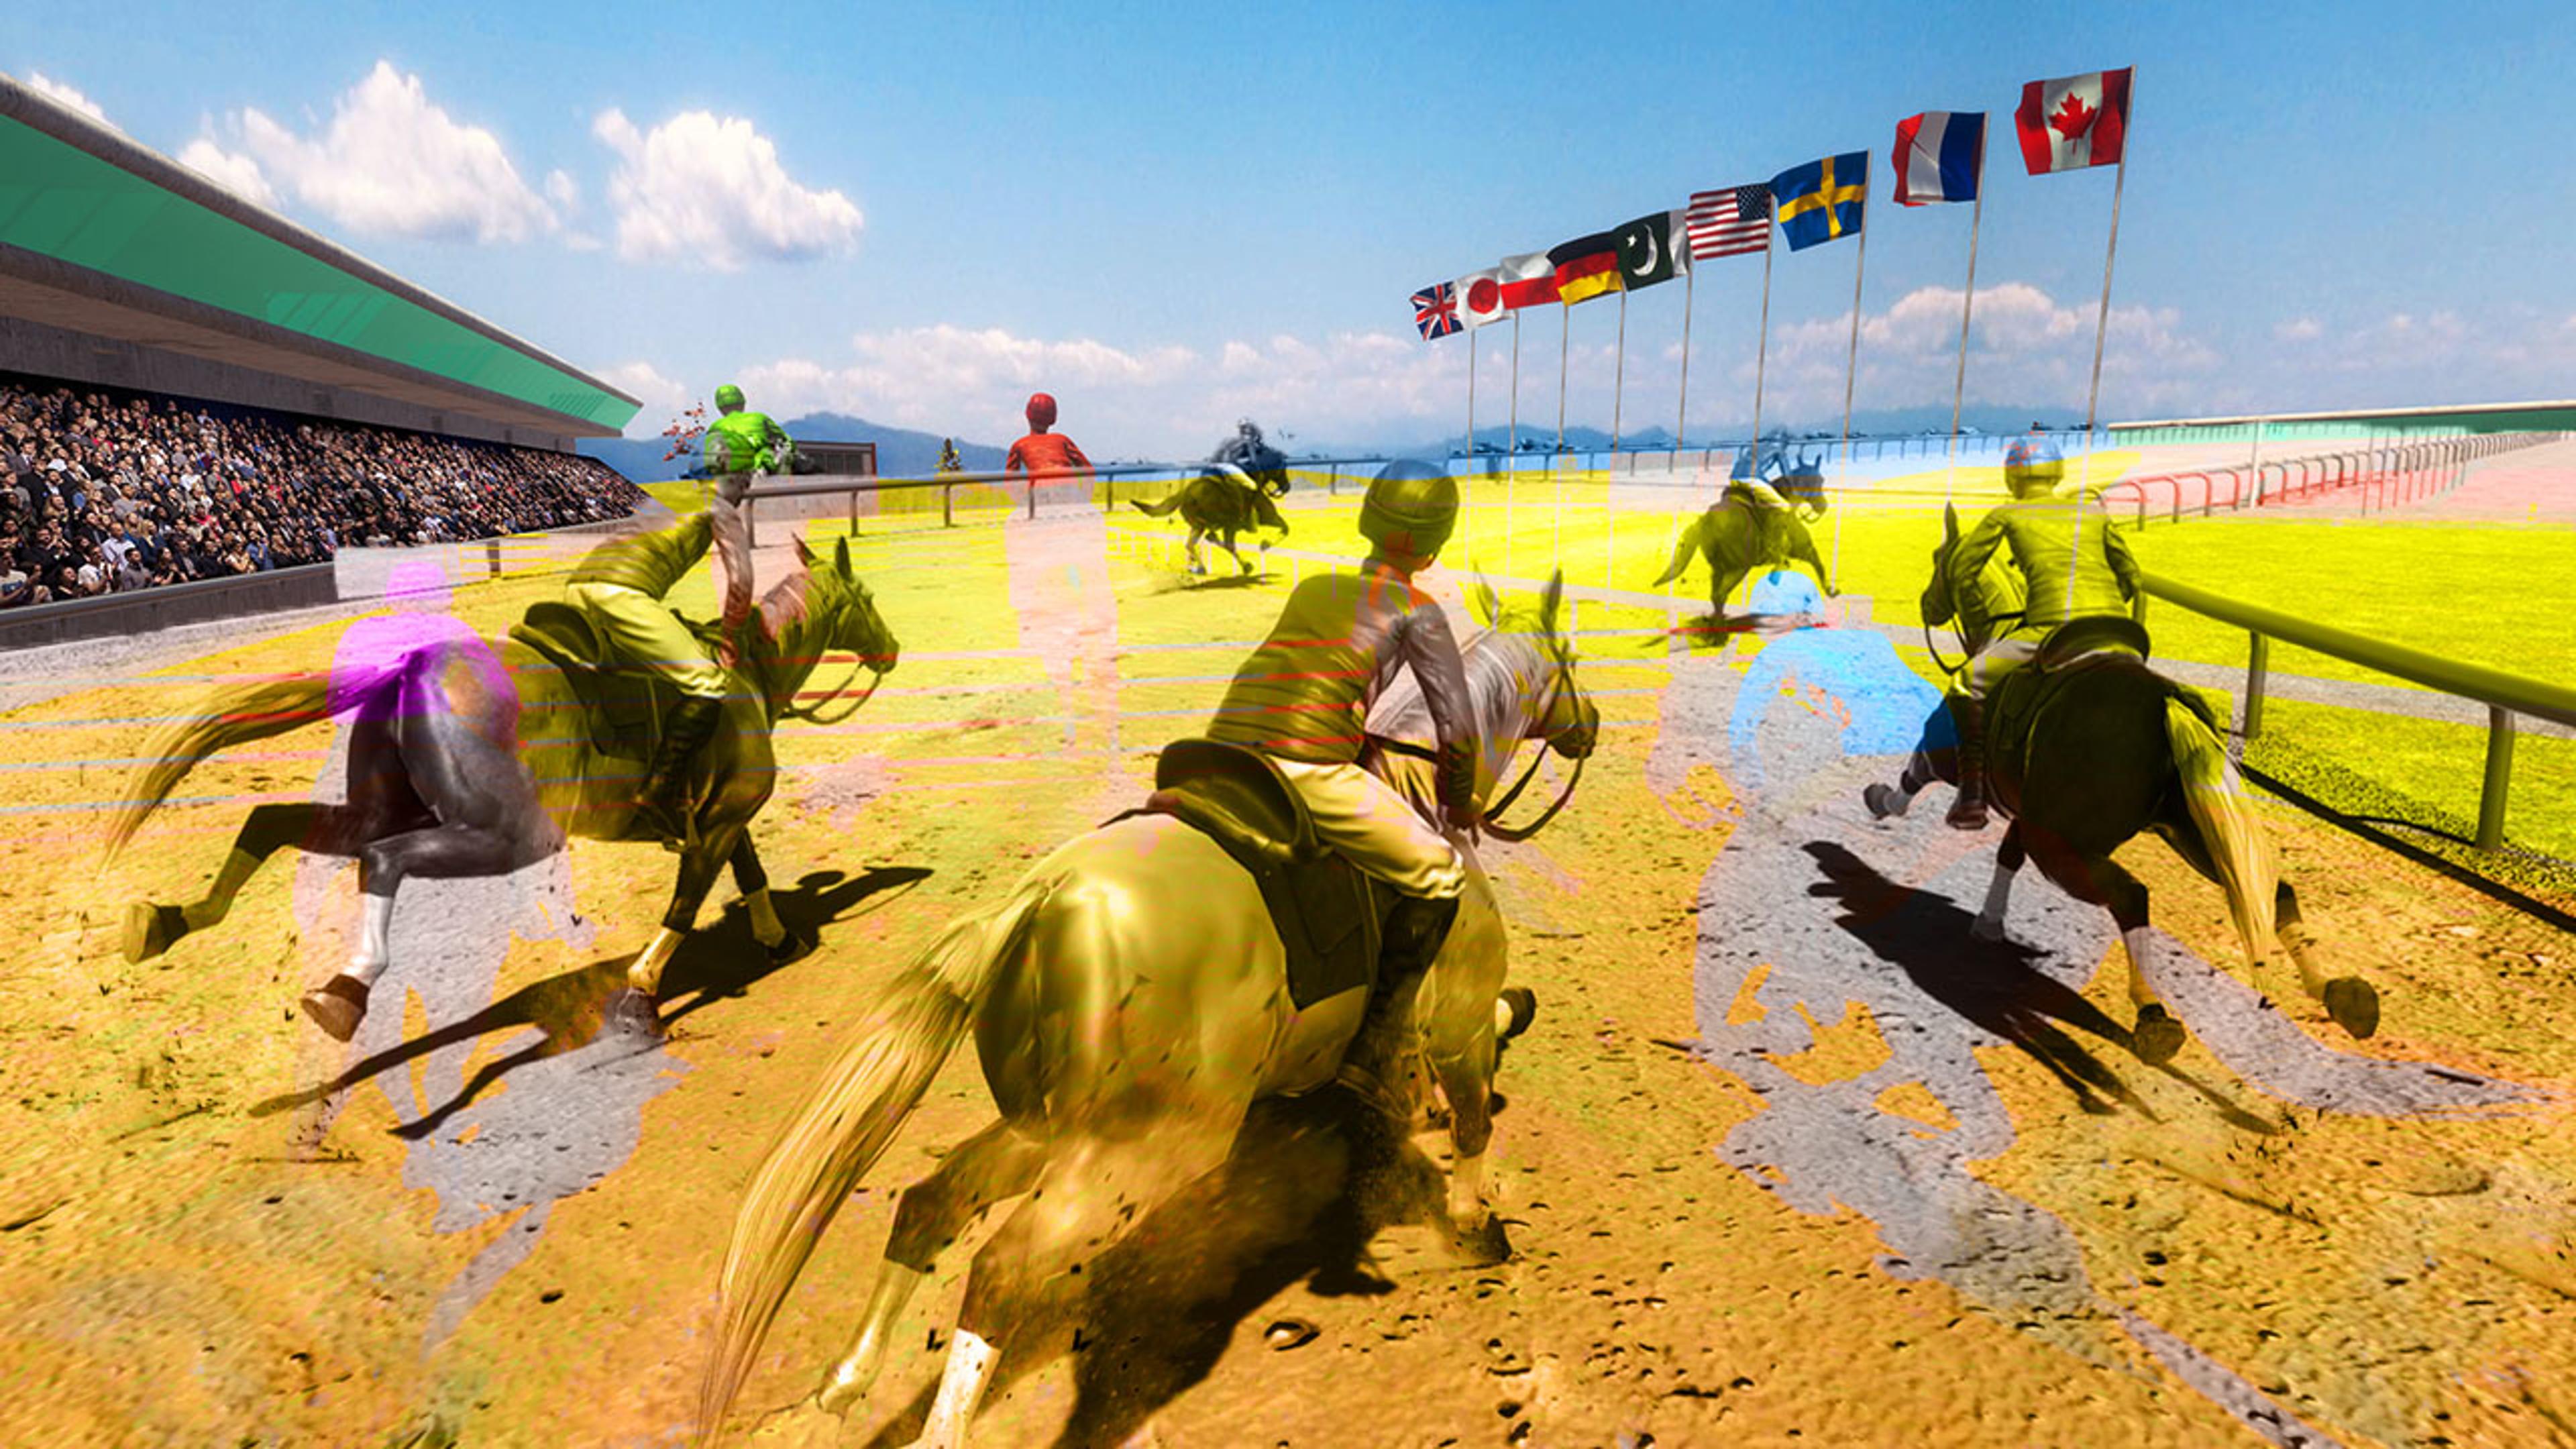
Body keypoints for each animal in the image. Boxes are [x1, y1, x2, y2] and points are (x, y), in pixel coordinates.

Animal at [104, 533, 900, 1042]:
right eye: (864, 597)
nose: (891, 648)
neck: (745, 671)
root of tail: (412, 665)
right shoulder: (719, 821)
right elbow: (685, 905)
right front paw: (641, 998)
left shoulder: (722, 819)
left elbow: (750, 872)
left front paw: (774, 936)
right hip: (499, 835)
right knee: (384, 860)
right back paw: (347, 989)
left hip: (384, 807)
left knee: (272, 822)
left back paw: (165, 923)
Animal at [696, 574, 1599, 1449]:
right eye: (1570, 660)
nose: (1587, 726)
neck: (1420, 799)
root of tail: (1038, 899)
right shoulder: (1460, 1020)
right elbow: (1476, 1116)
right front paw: (1474, 1224)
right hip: (1148, 1150)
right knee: (1001, 1272)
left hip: (1054, 1131)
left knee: (932, 1203)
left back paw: (842, 1387)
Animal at [1129, 463, 1290, 576]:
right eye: (1282, 467)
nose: (1287, 486)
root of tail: (1185, 493)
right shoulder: (1268, 517)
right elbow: (1285, 528)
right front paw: (1265, 545)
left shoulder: (1231, 525)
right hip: (1213, 524)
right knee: (1212, 540)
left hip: (1198, 525)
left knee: (1192, 543)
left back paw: (1200, 567)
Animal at [1861, 504, 2379, 1063]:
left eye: (1940, 558)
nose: (1926, 604)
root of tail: (2165, 703)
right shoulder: (2030, 807)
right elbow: (2007, 855)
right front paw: (1990, 923)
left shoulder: (1956, 754)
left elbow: (1916, 774)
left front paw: (1882, 801)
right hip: (2186, 831)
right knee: (2275, 891)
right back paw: (2344, 997)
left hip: (2065, 846)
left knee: (2132, 897)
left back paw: (2154, 1016)